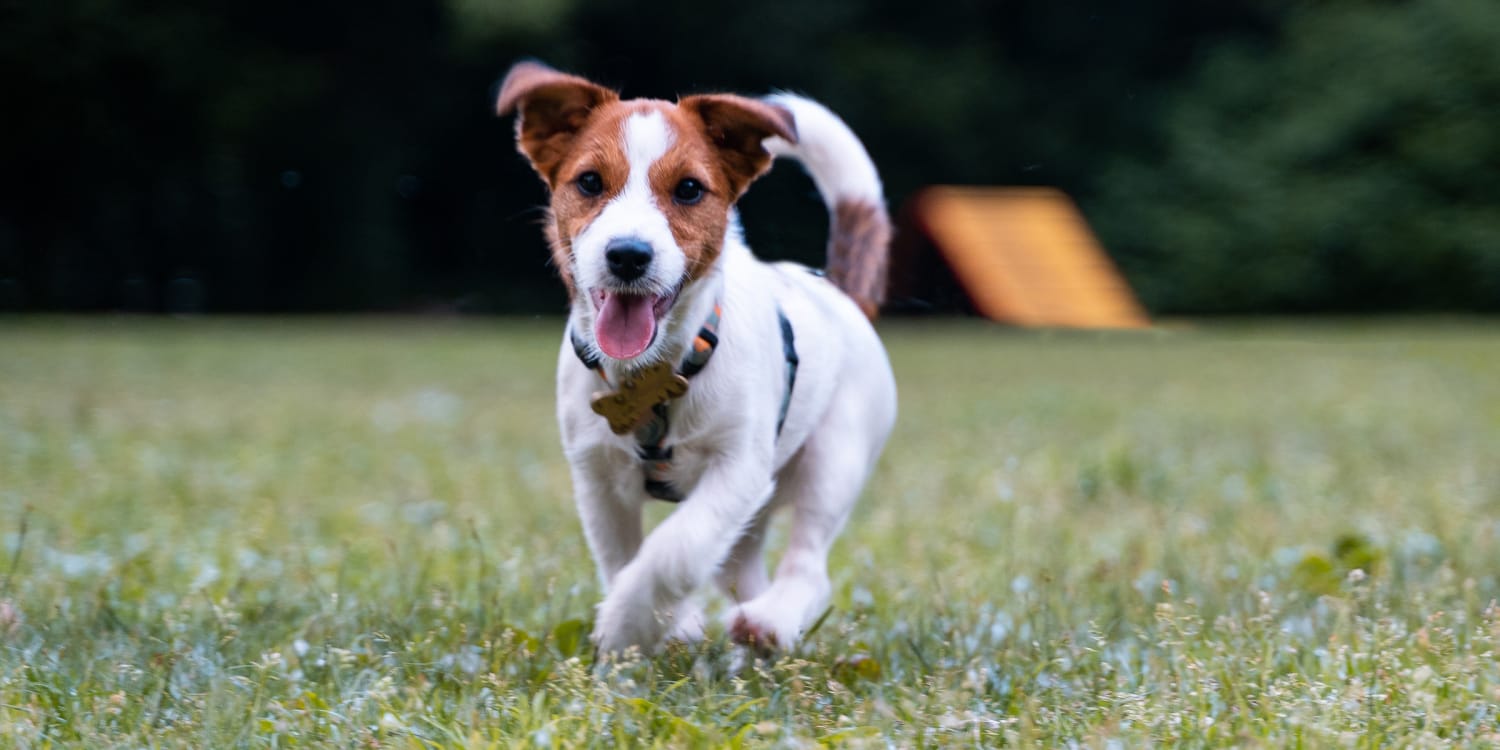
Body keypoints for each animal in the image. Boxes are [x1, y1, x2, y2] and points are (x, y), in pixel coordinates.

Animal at [492, 61, 894, 654]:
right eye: (589, 182)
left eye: (688, 189)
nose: (628, 255)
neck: (654, 376)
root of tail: (840, 290)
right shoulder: (597, 477)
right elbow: (624, 558)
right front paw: (667, 624)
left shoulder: (738, 468)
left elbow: (675, 550)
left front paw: (627, 621)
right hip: (760, 504)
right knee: (740, 567)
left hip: (833, 458)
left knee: (808, 564)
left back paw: (771, 620)